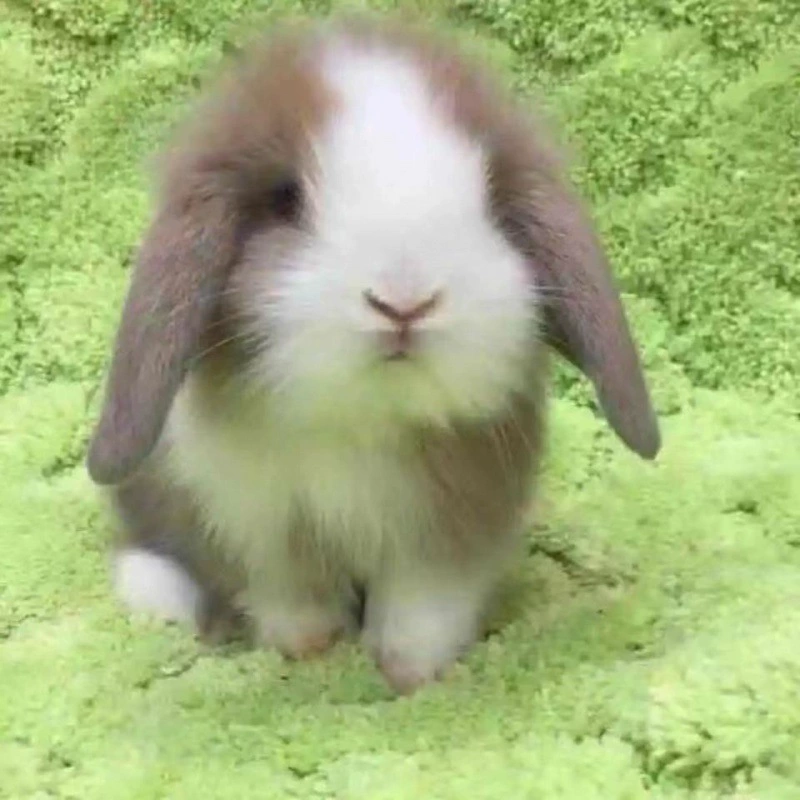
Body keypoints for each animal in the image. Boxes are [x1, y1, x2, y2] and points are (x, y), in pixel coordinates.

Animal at [86, 16, 660, 694]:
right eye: (285, 199)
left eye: (490, 197)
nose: (404, 302)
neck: (363, 417)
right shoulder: (261, 524)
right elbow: (289, 593)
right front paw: (309, 650)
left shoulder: (451, 525)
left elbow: (422, 607)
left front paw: (408, 675)